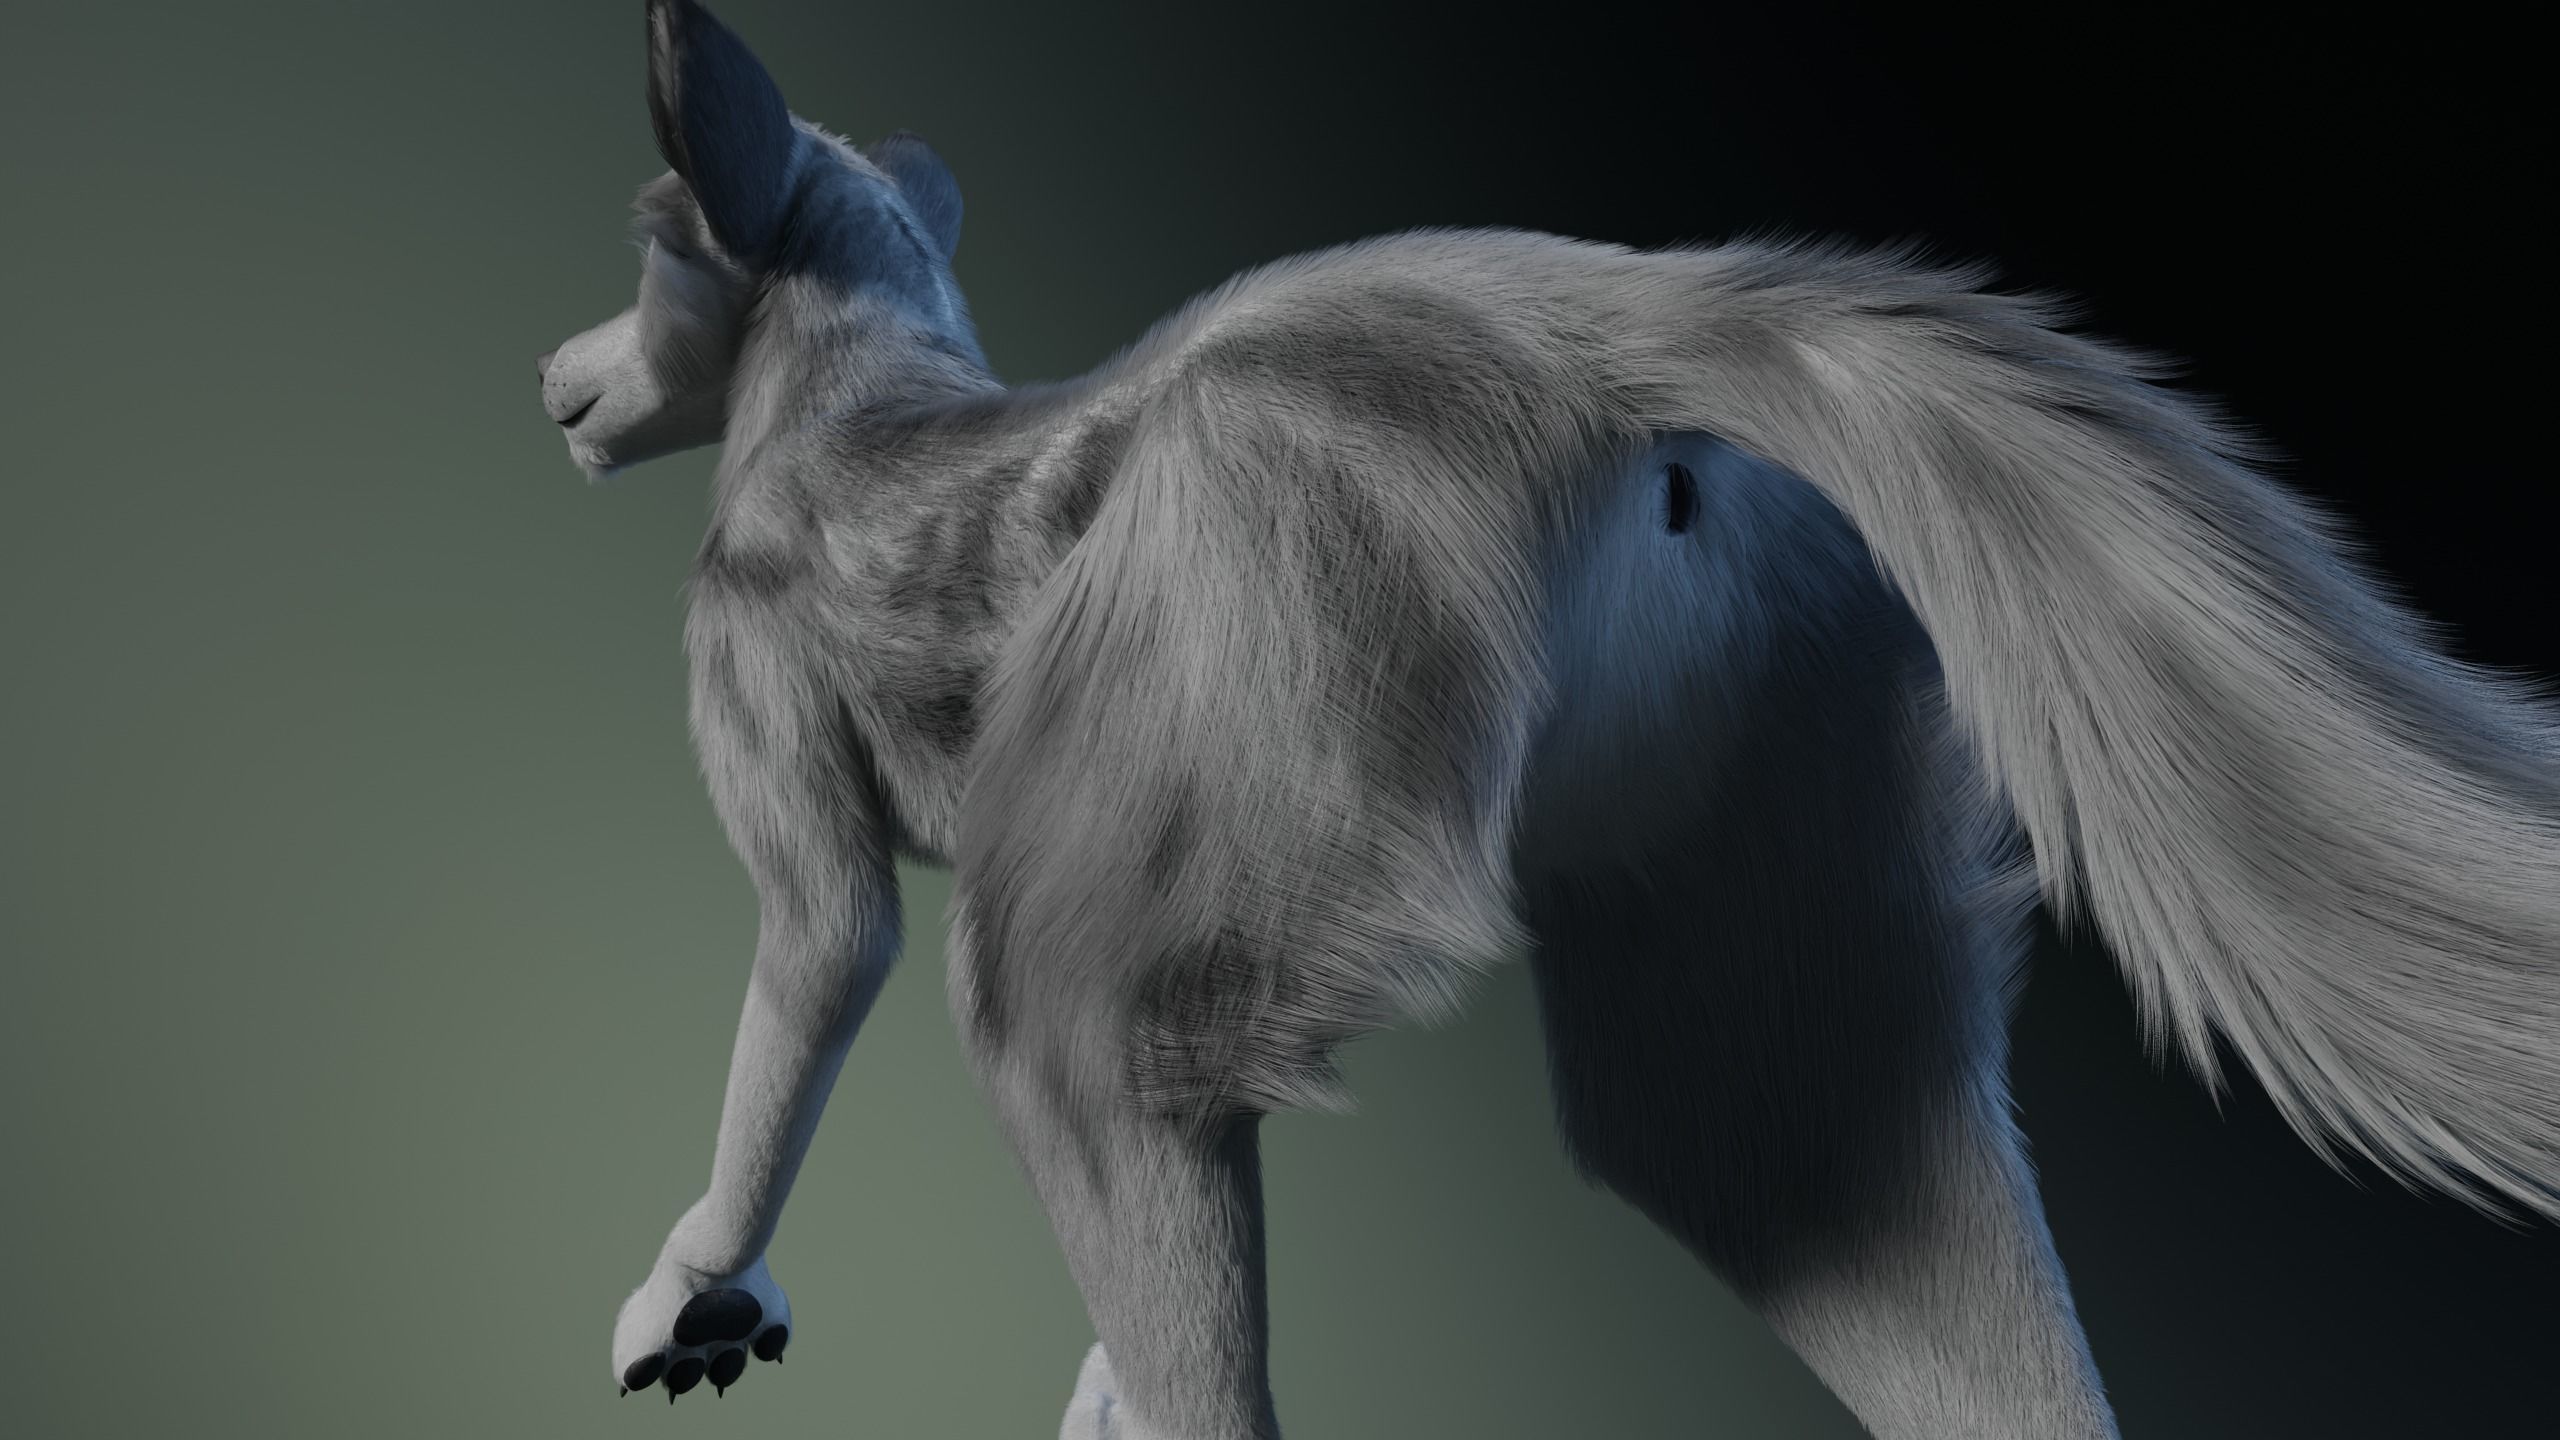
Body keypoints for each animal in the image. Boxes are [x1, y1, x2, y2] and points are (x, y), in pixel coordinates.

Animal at [537, 3, 2559, 1435]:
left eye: (651, 255)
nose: (555, 380)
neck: (853, 391)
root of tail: (1595, 316)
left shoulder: (771, 716)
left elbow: (821, 958)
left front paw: (698, 1287)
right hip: (1766, 888)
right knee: (1812, 1161)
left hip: (1182, 814)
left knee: (1072, 1052)